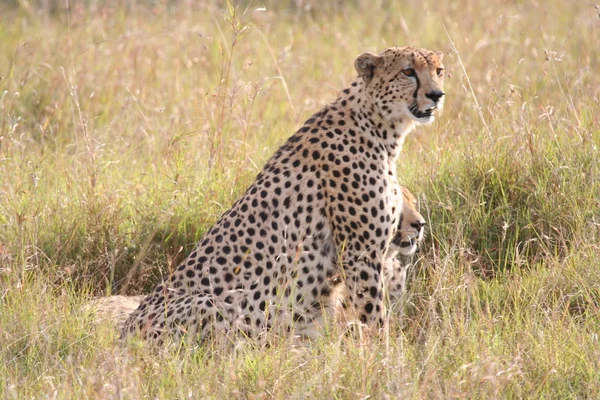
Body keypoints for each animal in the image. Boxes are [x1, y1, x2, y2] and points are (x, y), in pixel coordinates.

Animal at [122, 45, 442, 342]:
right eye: (407, 71)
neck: (379, 126)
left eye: (439, 70)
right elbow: (373, 315)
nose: (437, 95)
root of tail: (124, 335)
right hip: (219, 303)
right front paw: (383, 354)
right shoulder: (360, 252)